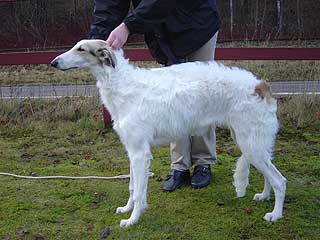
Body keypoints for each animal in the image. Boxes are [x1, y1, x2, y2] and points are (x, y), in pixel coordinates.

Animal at [51, 39, 286, 227]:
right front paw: (126, 209)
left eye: (81, 49)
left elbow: (139, 192)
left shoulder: (140, 153)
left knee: (280, 181)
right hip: (251, 143)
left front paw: (132, 220)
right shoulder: (132, 151)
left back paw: (275, 214)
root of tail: (261, 85)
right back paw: (264, 196)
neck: (121, 84)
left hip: (251, 144)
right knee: (269, 175)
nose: (53, 62)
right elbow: (131, 186)